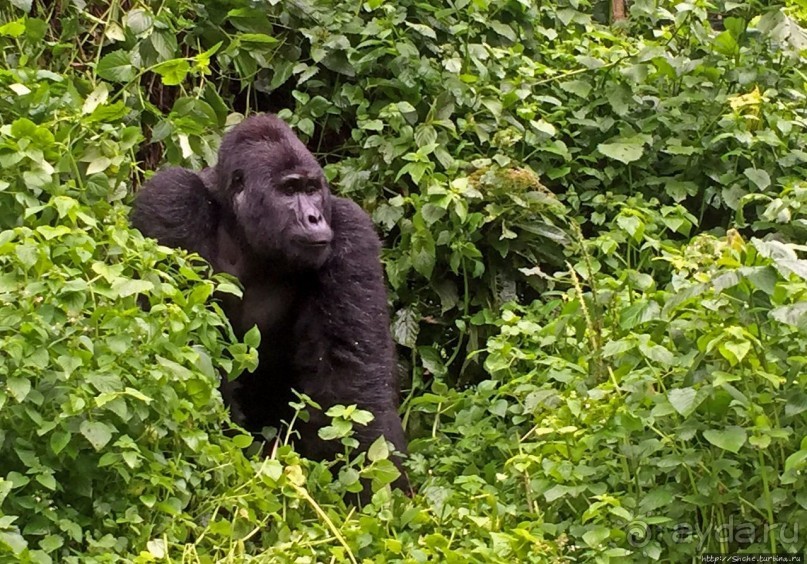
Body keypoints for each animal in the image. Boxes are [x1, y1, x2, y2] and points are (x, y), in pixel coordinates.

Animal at [135, 112, 410, 492]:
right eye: (289, 190)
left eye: (312, 190)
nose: (314, 218)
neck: (242, 228)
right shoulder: (171, 199)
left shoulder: (350, 228)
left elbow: (350, 378)